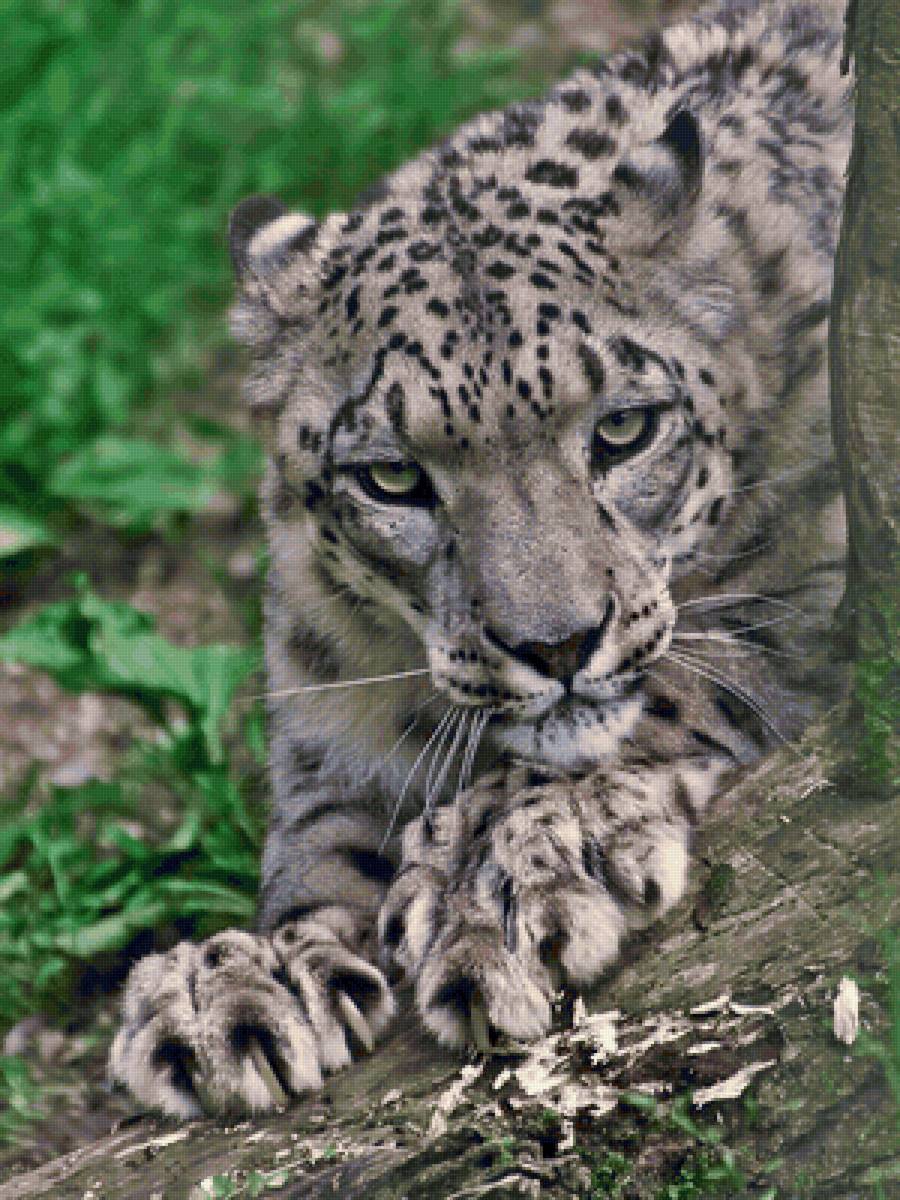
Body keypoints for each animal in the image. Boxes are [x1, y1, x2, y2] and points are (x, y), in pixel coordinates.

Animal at [110, 0, 851, 1118]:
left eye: (625, 428)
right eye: (393, 478)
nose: (557, 647)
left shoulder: (825, 575)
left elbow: (702, 668)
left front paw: (495, 877)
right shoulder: (335, 713)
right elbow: (319, 837)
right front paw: (242, 983)